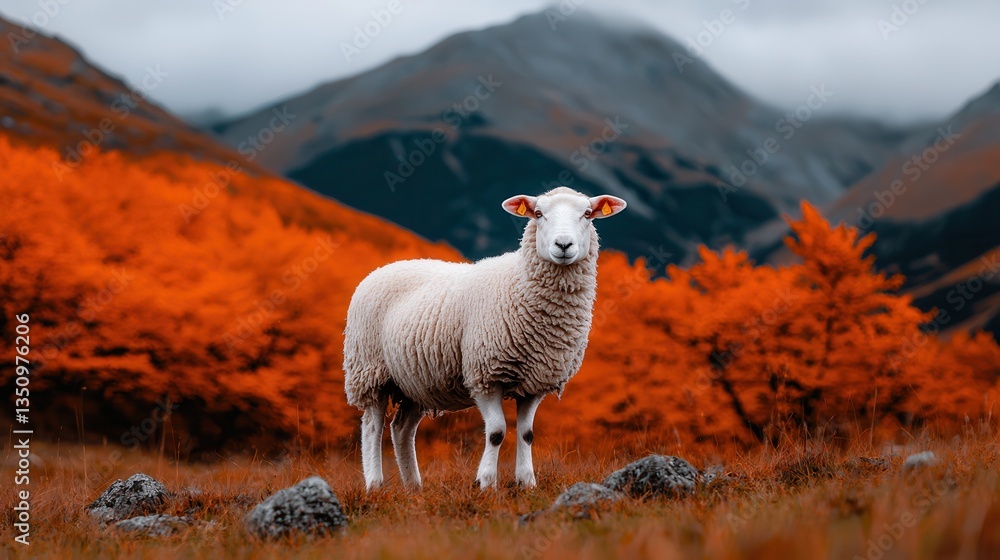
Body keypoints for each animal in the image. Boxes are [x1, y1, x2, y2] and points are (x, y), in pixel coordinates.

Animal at [343, 186, 627, 490]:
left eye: (587, 214)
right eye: (538, 214)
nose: (563, 245)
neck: (520, 284)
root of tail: (382, 269)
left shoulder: (535, 382)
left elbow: (527, 434)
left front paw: (527, 482)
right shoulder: (485, 375)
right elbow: (497, 432)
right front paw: (486, 483)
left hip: (415, 381)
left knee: (402, 429)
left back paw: (413, 487)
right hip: (370, 371)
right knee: (372, 427)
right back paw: (375, 484)